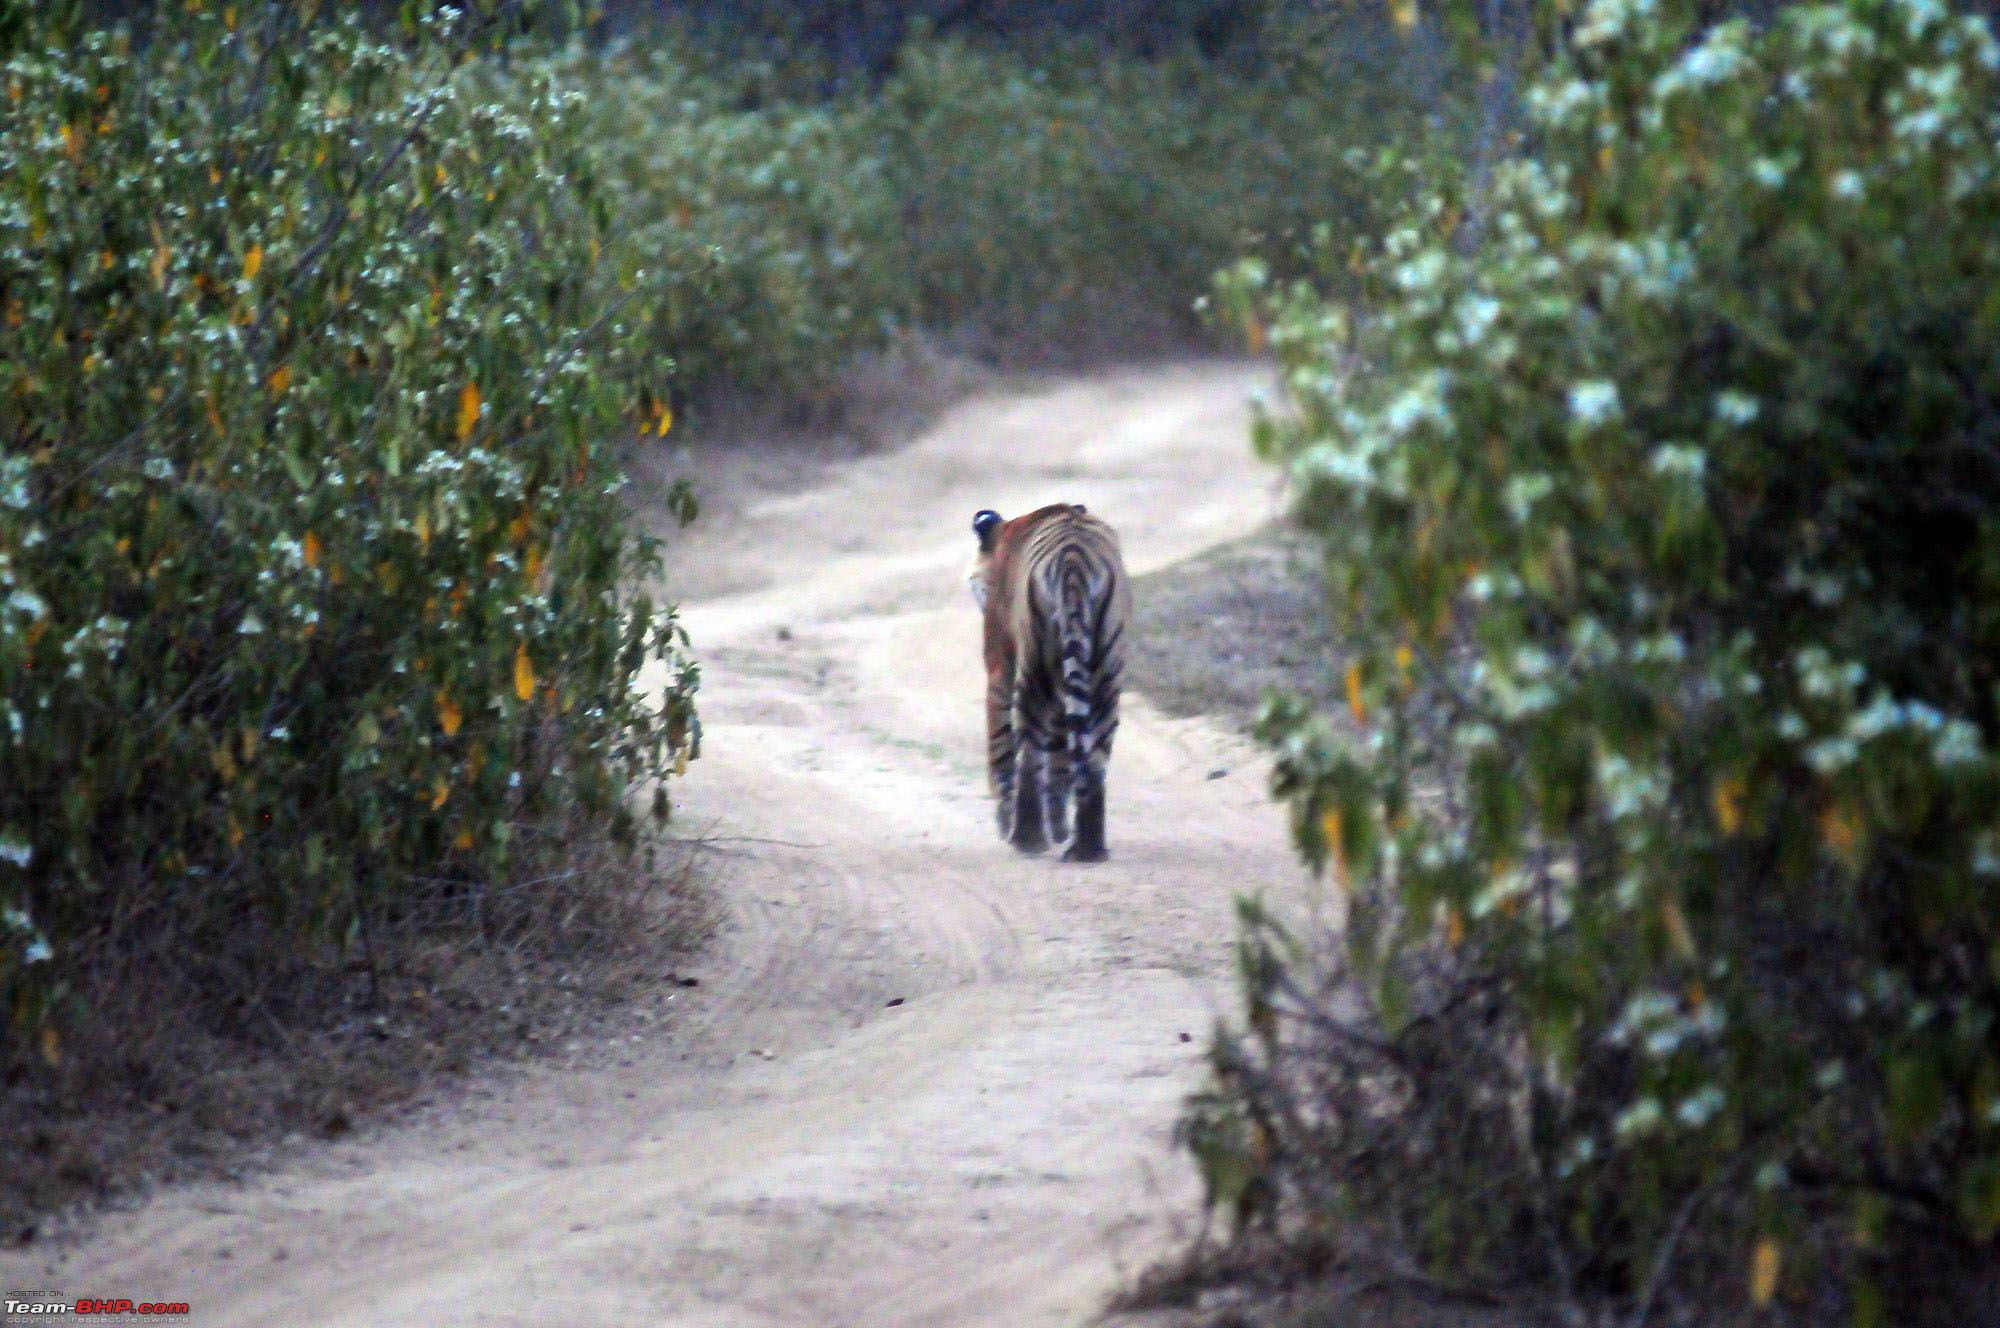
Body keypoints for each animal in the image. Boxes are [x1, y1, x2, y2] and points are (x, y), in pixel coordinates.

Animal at [972, 500, 1136, 860]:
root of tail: (1074, 557)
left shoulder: (999, 668)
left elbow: (1000, 746)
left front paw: (1004, 819)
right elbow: (1062, 757)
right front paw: (1060, 825)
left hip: (1033, 673)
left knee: (1030, 754)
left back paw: (1025, 838)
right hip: (1105, 674)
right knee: (1094, 760)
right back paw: (1087, 848)